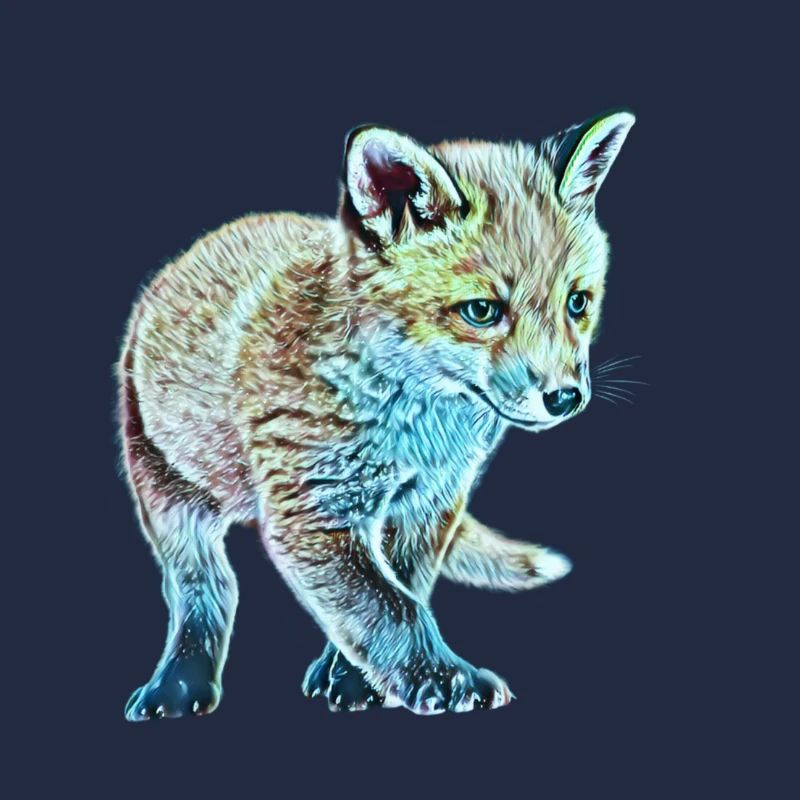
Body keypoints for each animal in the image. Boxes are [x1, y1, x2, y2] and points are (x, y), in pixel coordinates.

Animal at [118, 110, 635, 720]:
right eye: (482, 311)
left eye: (577, 303)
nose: (565, 397)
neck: (418, 425)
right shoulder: (310, 506)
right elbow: (387, 609)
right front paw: (445, 679)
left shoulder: (431, 501)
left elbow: (400, 589)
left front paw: (353, 681)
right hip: (166, 487)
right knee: (204, 587)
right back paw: (180, 683)